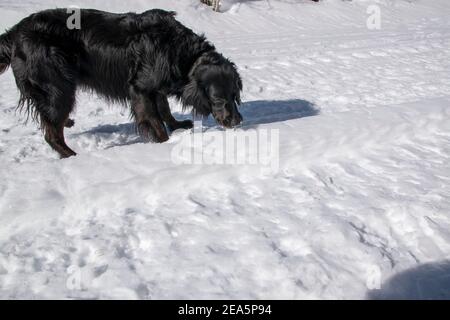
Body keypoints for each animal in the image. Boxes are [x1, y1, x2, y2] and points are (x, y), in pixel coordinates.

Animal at [0, 9, 243, 159]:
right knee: (51, 132)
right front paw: (165, 145)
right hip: (58, 88)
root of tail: (15, 32)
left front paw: (177, 126)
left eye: (235, 95)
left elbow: (164, 109)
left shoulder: (154, 86)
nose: (238, 121)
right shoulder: (140, 89)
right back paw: (72, 156)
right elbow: (155, 120)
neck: (181, 52)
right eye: (218, 99)